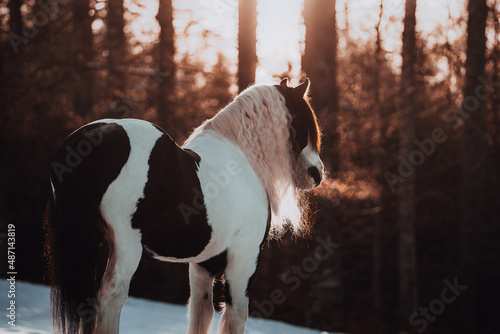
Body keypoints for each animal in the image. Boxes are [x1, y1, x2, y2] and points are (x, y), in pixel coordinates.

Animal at [45, 77, 326, 332]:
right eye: (303, 121)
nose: (317, 174)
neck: (243, 158)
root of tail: (92, 139)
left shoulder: (204, 264)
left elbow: (201, 312)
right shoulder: (244, 257)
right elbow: (235, 316)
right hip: (126, 245)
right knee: (110, 298)